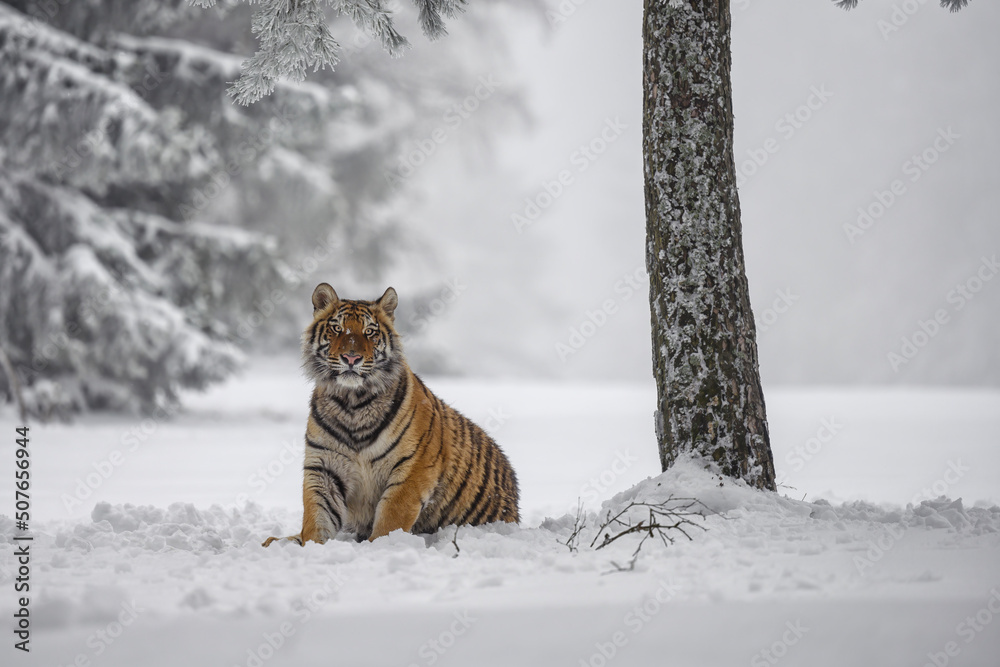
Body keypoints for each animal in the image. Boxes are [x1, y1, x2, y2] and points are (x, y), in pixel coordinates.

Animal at [262, 284, 520, 548]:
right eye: (337, 329)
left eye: (369, 332)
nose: (351, 358)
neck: (352, 404)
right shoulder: (323, 468)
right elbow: (316, 516)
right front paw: (311, 547)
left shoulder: (413, 468)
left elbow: (391, 518)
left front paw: (379, 547)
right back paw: (275, 540)